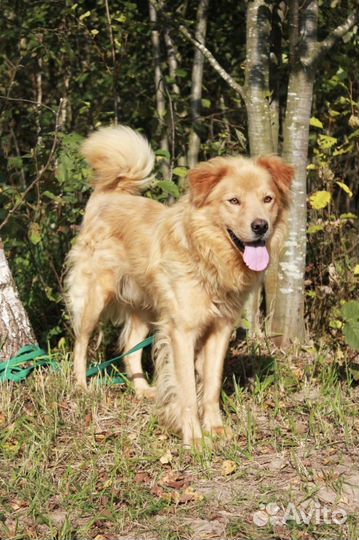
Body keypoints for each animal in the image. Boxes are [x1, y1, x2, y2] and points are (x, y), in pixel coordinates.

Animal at [64, 125, 294, 448]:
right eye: (233, 201)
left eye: (268, 199)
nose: (261, 226)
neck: (207, 256)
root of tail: (108, 196)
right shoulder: (182, 331)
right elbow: (186, 389)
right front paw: (194, 438)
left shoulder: (220, 329)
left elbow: (211, 384)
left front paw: (216, 429)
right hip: (95, 298)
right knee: (81, 342)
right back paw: (81, 386)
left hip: (146, 307)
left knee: (131, 347)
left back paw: (142, 390)